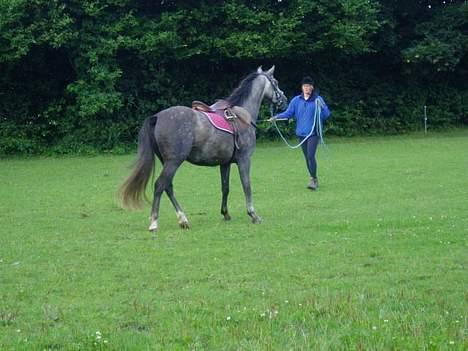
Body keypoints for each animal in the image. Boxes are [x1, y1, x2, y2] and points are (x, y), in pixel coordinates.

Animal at [119, 66, 288, 232]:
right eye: (276, 82)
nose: (285, 100)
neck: (241, 116)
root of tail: (157, 117)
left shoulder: (225, 163)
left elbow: (225, 187)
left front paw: (225, 213)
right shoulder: (244, 160)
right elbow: (246, 186)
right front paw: (253, 215)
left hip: (167, 162)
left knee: (168, 186)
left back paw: (183, 220)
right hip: (174, 162)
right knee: (160, 185)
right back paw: (154, 222)